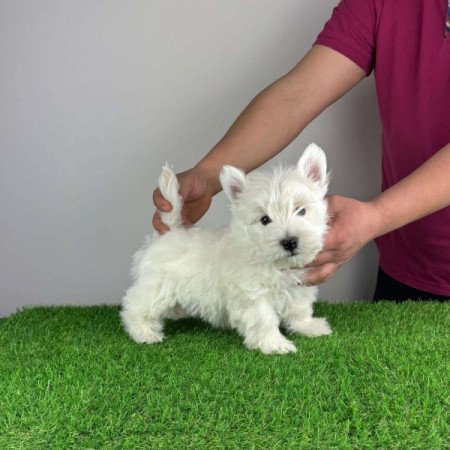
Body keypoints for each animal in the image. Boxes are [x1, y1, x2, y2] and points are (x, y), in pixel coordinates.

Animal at [121, 142, 332, 354]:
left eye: (301, 211)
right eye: (265, 220)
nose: (289, 242)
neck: (273, 262)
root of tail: (170, 231)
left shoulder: (299, 285)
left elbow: (299, 309)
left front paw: (309, 326)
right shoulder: (252, 294)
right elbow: (264, 319)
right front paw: (274, 343)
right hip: (158, 284)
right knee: (136, 305)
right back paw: (144, 332)